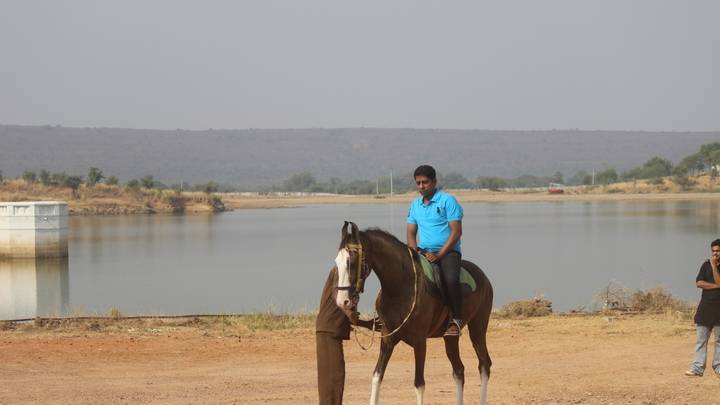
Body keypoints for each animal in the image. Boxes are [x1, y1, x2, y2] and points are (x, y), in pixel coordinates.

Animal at [334, 221, 492, 404]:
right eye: (337, 262)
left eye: (351, 262)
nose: (342, 302)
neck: (400, 288)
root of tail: (484, 277)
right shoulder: (387, 339)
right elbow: (377, 376)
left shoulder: (419, 341)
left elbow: (419, 384)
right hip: (450, 338)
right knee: (459, 371)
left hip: (478, 329)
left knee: (484, 365)